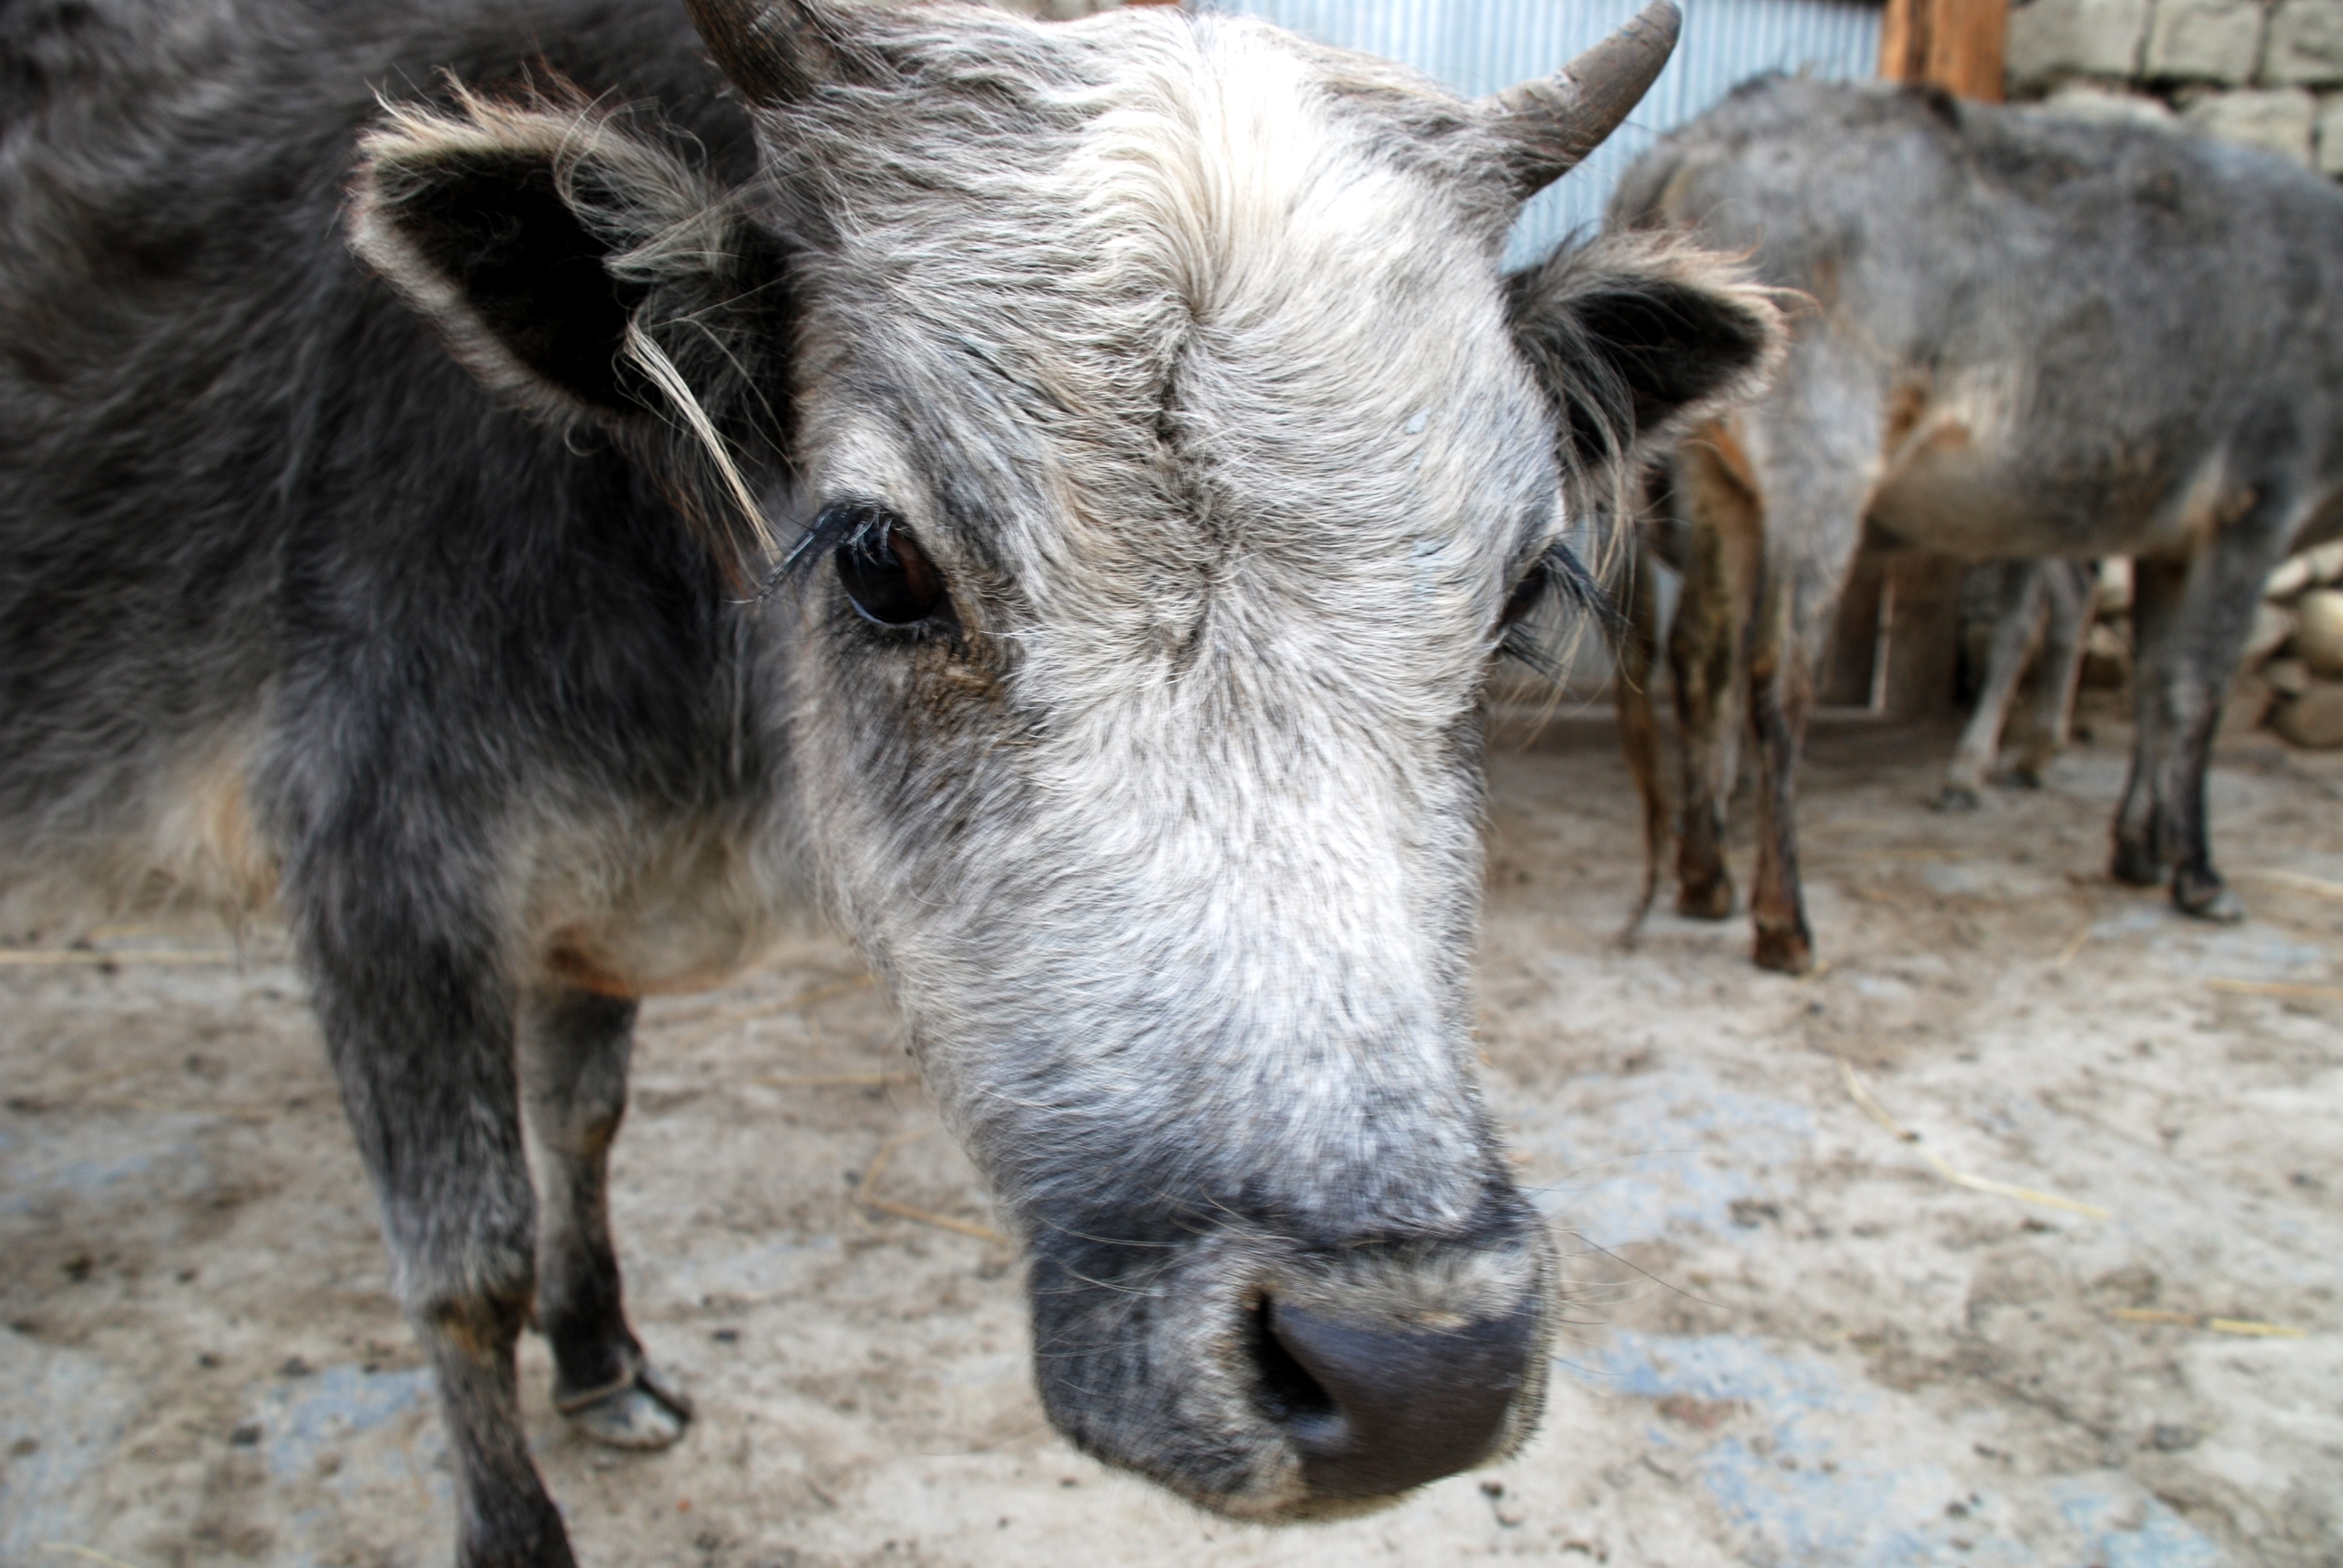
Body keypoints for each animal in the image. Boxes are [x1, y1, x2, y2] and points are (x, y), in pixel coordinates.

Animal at [0, 3, 1771, 1566]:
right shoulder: (372, 869)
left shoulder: (580, 913)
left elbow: (584, 1119)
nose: (1416, 1373)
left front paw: (604, 1360)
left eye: (1521, 592)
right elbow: (464, 1265)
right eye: (879, 558)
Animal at [1611, 82, 2343, 979]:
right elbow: (2195, 692)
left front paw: (2140, 845)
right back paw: (1785, 918)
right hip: (1822, 451)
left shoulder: (2168, 537)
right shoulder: (2256, 499)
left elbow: (2154, 682)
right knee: (1779, 675)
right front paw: (2198, 870)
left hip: (1720, 474)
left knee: (1704, 654)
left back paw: (1707, 877)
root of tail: (1699, 139)